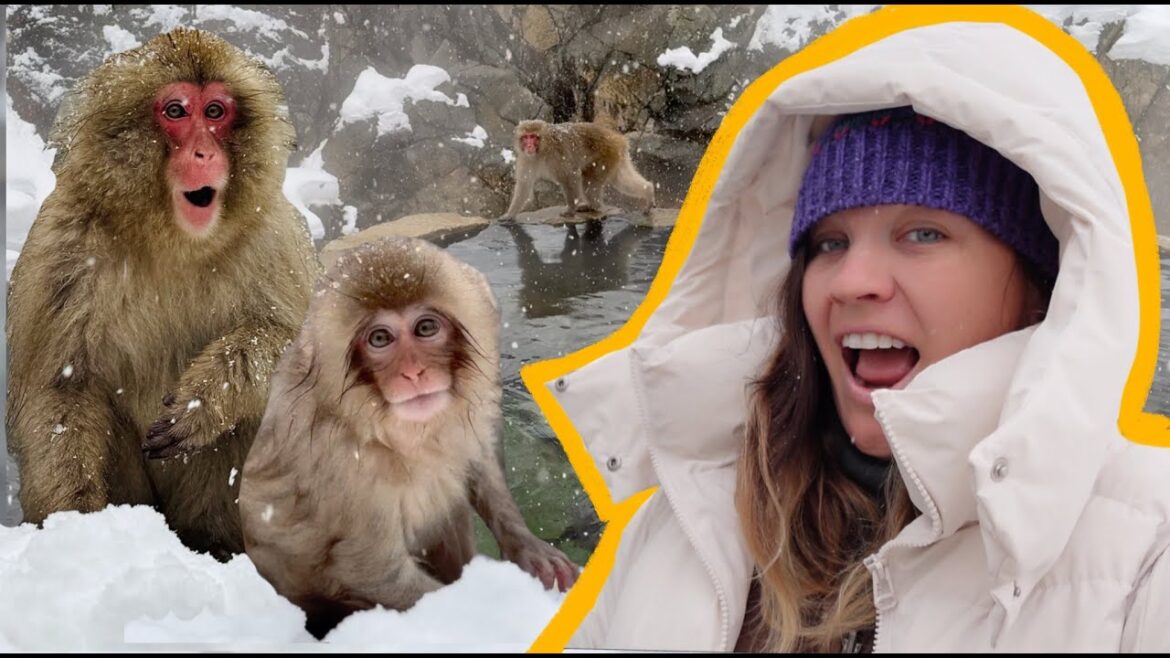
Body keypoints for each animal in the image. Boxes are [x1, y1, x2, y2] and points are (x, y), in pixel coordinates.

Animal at [5, 28, 317, 558]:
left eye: (215, 111)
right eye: (175, 111)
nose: (204, 154)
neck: (172, 239)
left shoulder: (274, 234)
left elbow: (298, 345)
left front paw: (202, 403)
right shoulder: (61, 244)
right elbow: (59, 389)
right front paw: (77, 526)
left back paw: (219, 543)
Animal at [238, 236, 580, 638]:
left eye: (426, 328)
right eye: (380, 338)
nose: (413, 372)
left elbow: (479, 454)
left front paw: (529, 549)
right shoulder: (343, 466)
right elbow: (367, 570)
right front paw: (499, 614)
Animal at [499, 119, 656, 220]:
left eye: (533, 137)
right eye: (525, 137)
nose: (529, 145)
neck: (541, 150)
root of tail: (617, 138)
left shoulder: (557, 155)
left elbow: (570, 176)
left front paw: (570, 209)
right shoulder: (525, 159)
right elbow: (524, 185)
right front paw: (510, 214)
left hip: (605, 156)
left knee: (589, 184)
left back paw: (595, 206)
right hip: (614, 158)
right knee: (619, 180)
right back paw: (647, 190)